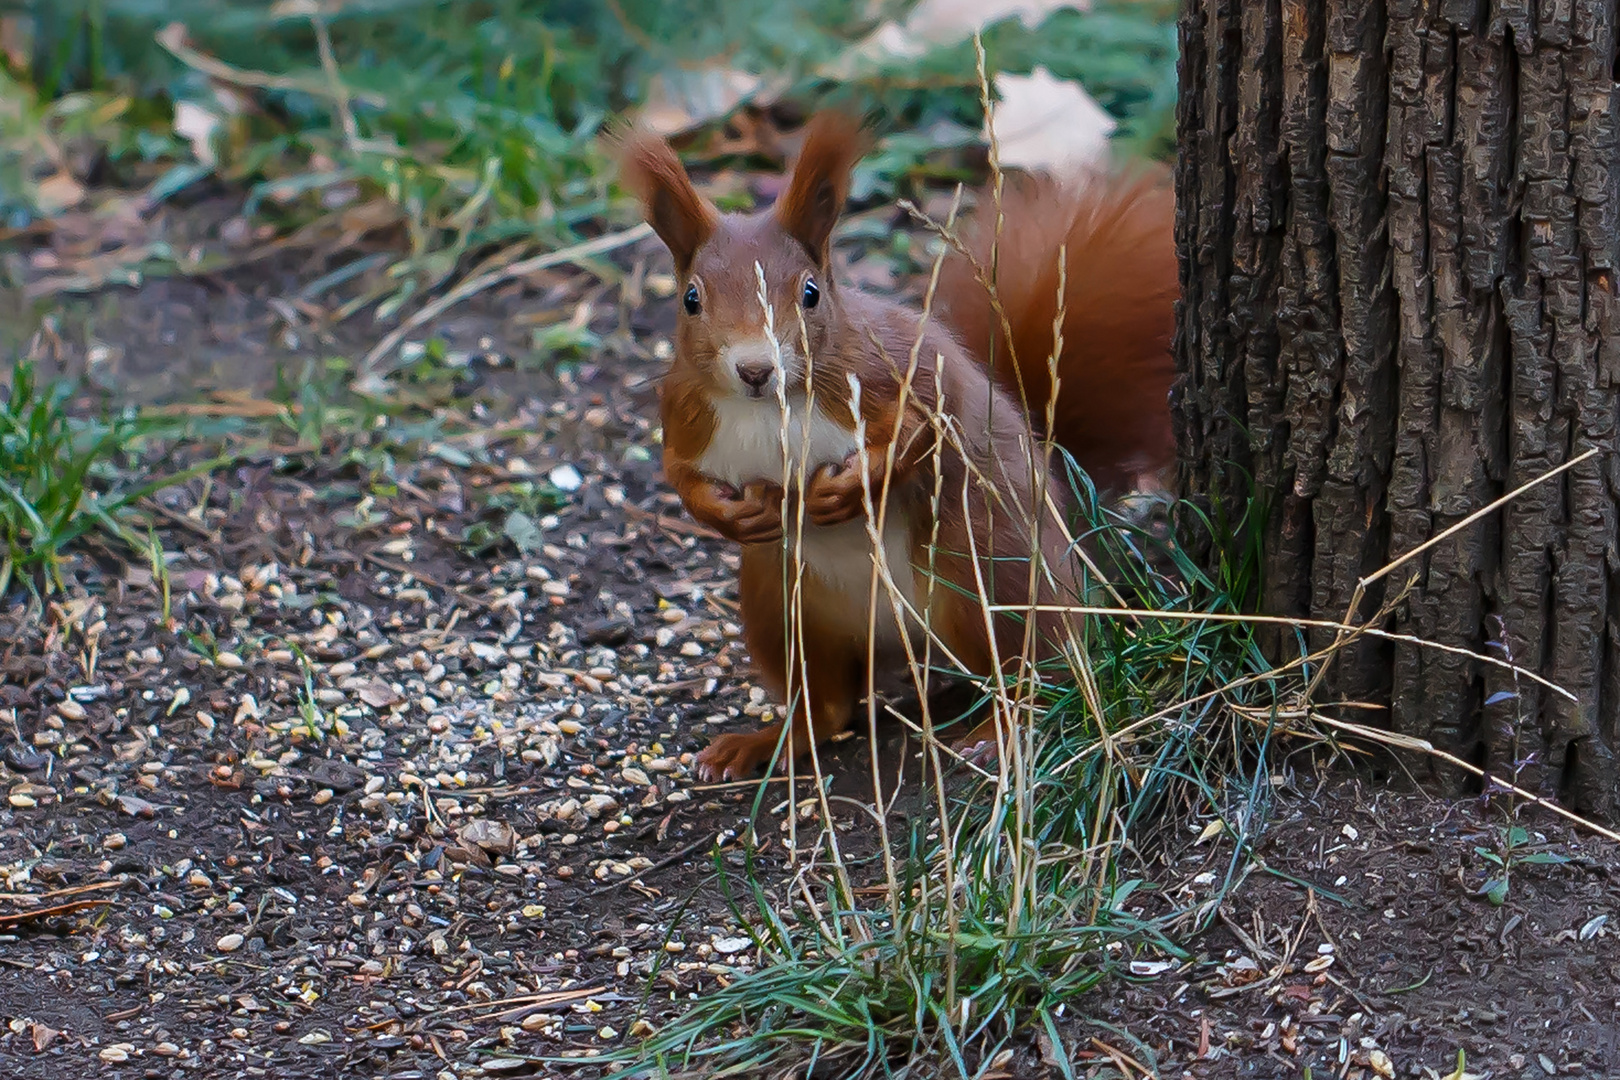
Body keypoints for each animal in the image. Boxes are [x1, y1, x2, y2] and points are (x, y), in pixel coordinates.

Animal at [612, 114, 1172, 780]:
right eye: (691, 299)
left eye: (810, 293)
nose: (754, 369)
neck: (770, 408)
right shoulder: (684, 414)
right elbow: (680, 476)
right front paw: (733, 514)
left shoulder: (901, 368)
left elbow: (926, 424)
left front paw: (849, 488)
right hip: (783, 605)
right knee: (827, 703)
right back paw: (764, 742)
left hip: (989, 567)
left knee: (1036, 668)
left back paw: (997, 728)